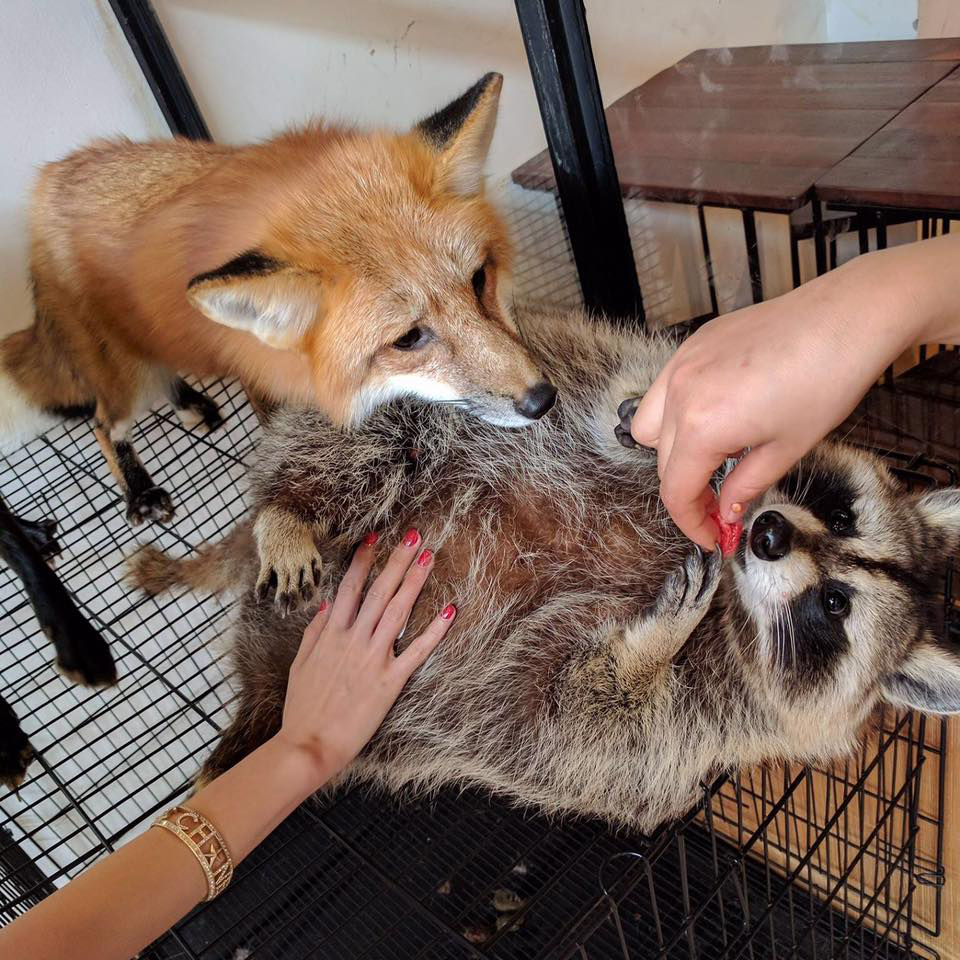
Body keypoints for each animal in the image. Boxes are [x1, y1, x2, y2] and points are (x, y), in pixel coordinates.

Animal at [0, 75, 556, 524]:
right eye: (408, 338)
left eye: (479, 279)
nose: (542, 399)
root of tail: (49, 179)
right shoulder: (261, 376)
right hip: (123, 375)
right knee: (103, 422)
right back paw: (139, 489)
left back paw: (190, 401)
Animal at [127, 308, 960, 832]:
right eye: (842, 514)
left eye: (835, 605)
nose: (768, 531)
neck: (733, 588)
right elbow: (644, 392)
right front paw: (668, 440)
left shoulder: (704, 722)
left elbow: (592, 726)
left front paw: (644, 651)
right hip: (423, 397)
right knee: (372, 429)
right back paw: (288, 509)